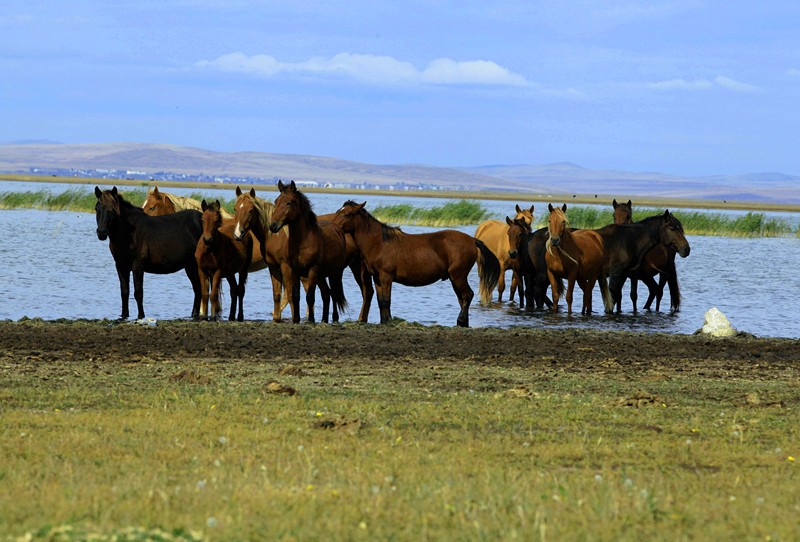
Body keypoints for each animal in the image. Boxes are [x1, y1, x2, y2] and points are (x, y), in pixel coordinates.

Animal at [94, 186, 203, 320]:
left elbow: (138, 292)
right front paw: (124, 315)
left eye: (112, 210)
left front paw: (141, 316)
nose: (101, 232)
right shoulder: (120, 265)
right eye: (97, 208)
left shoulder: (137, 265)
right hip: (190, 266)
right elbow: (124, 291)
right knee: (197, 289)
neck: (128, 233)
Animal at [268, 180, 348, 324]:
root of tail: (338, 230)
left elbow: (310, 296)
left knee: (334, 293)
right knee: (326, 293)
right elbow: (295, 296)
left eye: (289, 202)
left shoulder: (312, 270)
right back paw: (324, 319)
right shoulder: (294, 270)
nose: (273, 225)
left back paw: (334, 318)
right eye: (276, 201)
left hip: (335, 273)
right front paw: (296, 319)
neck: (302, 242)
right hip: (322, 275)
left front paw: (310, 319)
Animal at [332, 201, 501, 327]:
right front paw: (383, 321)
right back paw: (463, 323)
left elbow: (386, 301)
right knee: (462, 298)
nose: (333, 226)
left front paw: (388, 321)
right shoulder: (377, 278)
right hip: (455, 278)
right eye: (338, 211)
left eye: (347, 214)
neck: (380, 242)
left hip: (458, 276)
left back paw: (460, 321)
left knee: (468, 295)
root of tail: (472, 240)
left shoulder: (386, 277)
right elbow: (381, 302)